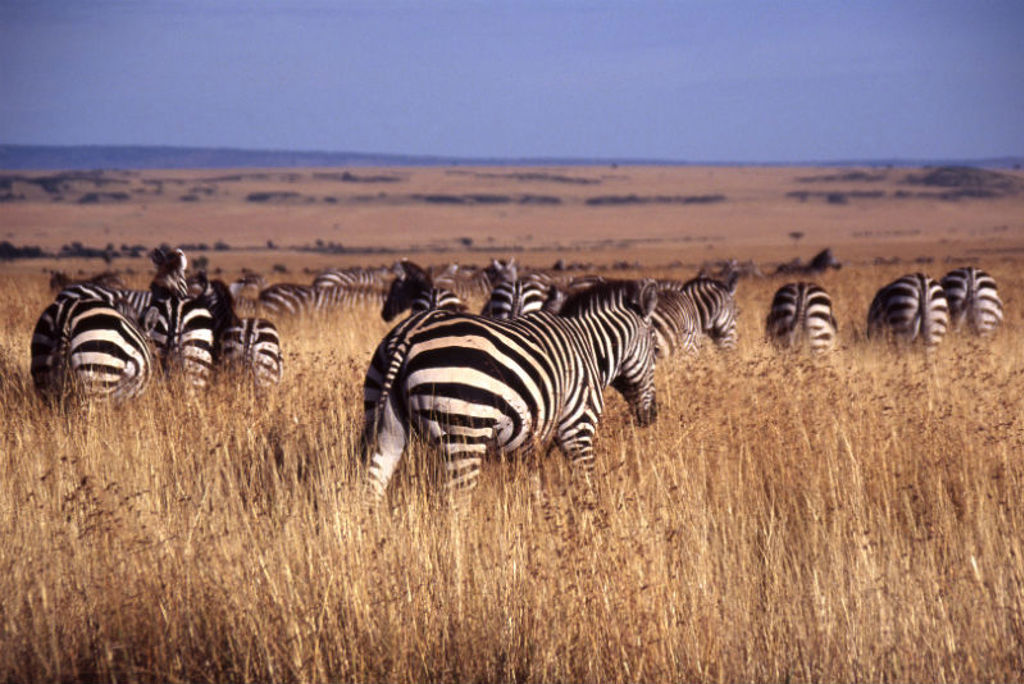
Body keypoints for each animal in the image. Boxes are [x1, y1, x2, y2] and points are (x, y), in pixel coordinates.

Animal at [361, 279, 659, 498]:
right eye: (656, 350)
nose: (652, 416)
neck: (590, 348)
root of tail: (409, 332)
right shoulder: (577, 427)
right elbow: (586, 481)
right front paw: (589, 520)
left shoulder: (530, 442)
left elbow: (534, 487)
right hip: (465, 431)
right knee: (456, 501)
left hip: (385, 420)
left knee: (373, 484)